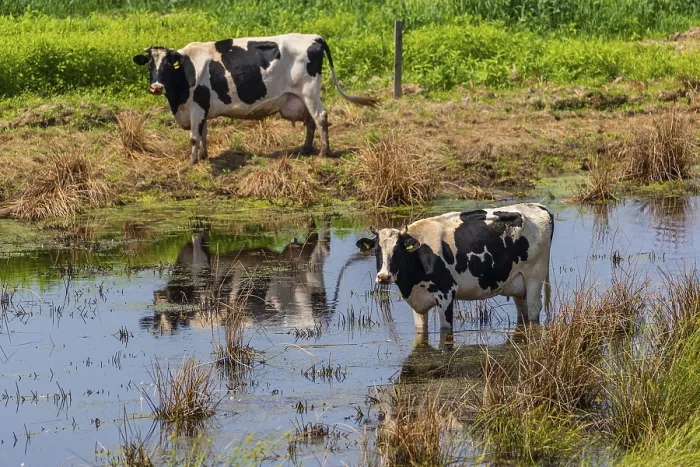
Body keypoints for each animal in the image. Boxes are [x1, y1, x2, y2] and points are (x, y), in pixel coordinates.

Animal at [132, 34, 377, 164]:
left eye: (167, 64)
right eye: (150, 64)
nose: (156, 86)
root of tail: (314, 37)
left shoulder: (197, 106)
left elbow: (194, 137)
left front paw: (193, 162)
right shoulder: (202, 108)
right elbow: (203, 134)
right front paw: (204, 156)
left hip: (310, 91)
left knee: (321, 117)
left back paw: (324, 152)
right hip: (300, 96)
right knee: (310, 121)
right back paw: (306, 149)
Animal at [355, 203, 554, 331]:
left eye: (399, 251)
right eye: (376, 251)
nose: (384, 277)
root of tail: (539, 207)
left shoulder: (446, 294)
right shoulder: (417, 303)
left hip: (534, 277)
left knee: (534, 313)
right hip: (518, 285)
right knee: (523, 314)